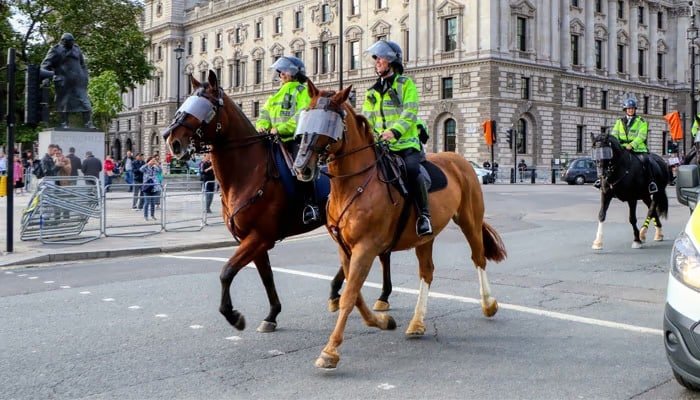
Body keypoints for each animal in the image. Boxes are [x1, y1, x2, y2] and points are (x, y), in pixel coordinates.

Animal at [160, 70, 396, 333]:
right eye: (187, 102)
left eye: (207, 105)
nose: (171, 139)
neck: (248, 172)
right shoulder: (251, 239)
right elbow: (266, 276)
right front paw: (272, 314)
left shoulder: (260, 237)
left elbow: (227, 271)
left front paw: (233, 315)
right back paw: (337, 293)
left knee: (381, 252)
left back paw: (382, 295)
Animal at [292, 81, 507, 369]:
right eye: (306, 116)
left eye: (329, 123)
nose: (301, 167)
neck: (353, 185)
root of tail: (458, 159)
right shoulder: (345, 249)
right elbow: (354, 293)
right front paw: (381, 321)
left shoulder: (366, 248)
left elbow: (350, 295)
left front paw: (331, 350)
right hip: (425, 238)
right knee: (427, 272)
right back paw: (417, 322)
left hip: (469, 220)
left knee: (478, 258)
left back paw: (488, 304)